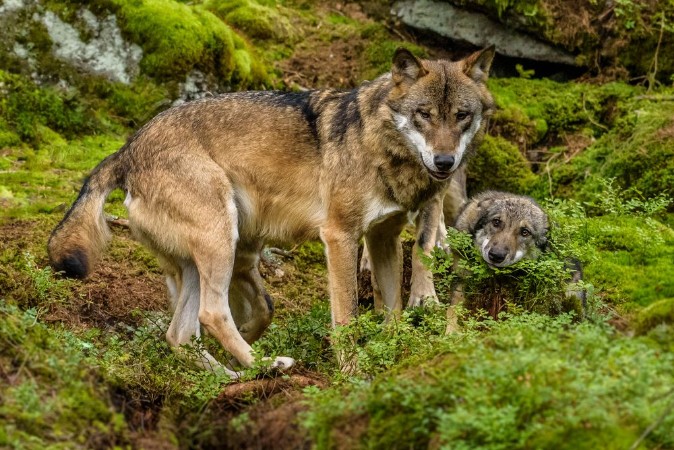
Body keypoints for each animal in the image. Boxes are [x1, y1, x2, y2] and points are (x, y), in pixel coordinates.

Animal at [48, 46, 495, 376]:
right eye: (424, 115)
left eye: (461, 116)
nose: (444, 162)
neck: (380, 144)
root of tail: (127, 149)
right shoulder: (340, 237)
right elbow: (347, 319)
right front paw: (353, 374)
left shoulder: (383, 237)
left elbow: (395, 312)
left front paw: (396, 356)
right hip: (222, 239)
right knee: (212, 314)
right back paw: (266, 364)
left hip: (202, 260)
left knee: (181, 334)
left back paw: (232, 376)